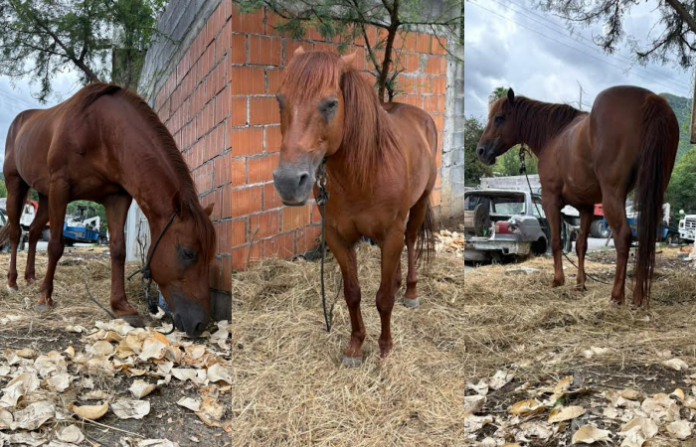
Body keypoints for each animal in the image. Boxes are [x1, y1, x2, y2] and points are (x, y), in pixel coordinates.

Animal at [1, 83, 216, 337]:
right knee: (17, 234)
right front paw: (45, 298)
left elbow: (118, 250)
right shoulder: (60, 187)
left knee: (34, 232)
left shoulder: (117, 197)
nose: (201, 324)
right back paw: (13, 282)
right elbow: (55, 246)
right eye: (188, 253)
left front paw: (121, 306)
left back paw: (30, 278)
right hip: (17, 185)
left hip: (44, 196)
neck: (101, 130)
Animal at [272, 47, 438, 366]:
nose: (288, 182)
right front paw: (355, 346)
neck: (365, 171)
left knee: (411, 241)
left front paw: (385, 348)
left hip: (420, 204)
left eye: (331, 103)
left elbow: (383, 299)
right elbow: (352, 293)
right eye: (280, 100)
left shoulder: (390, 233)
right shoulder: (338, 238)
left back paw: (410, 292)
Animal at [477, 87, 678, 306]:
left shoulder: (550, 200)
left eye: (499, 118)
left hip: (613, 195)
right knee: (645, 240)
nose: (481, 151)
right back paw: (638, 297)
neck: (553, 134)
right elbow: (581, 244)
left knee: (624, 236)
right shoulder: (586, 207)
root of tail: (651, 99)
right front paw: (580, 283)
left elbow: (556, 241)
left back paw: (617, 295)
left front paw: (558, 280)